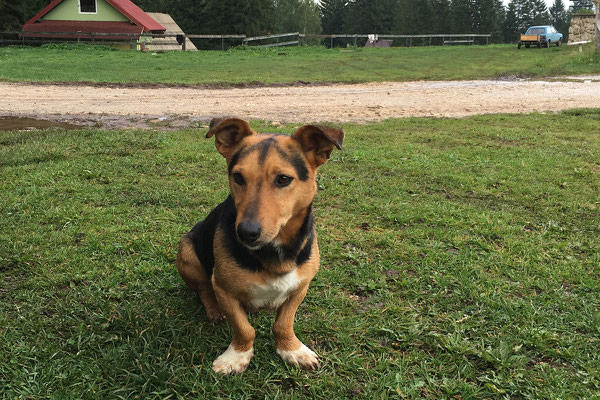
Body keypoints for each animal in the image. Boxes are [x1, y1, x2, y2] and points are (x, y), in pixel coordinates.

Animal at [176, 117, 344, 374]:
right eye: (237, 177)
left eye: (283, 179)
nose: (246, 233)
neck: (274, 250)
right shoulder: (223, 289)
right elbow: (244, 328)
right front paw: (237, 356)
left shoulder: (301, 286)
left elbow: (284, 323)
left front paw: (291, 349)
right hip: (186, 251)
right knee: (203, 288)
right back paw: (214, 310)